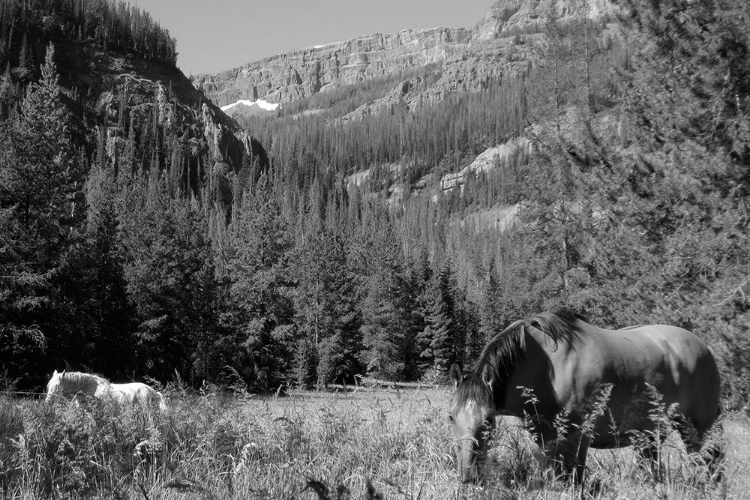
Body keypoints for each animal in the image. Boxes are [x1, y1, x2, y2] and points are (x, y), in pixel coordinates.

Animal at [450, 308, 724, 484]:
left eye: (488, 421)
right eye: (451, 417)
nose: (467, 476)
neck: (547, 369)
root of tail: (705, 349)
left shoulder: (578, 437)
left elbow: (576, 479)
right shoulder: (547, 439)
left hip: (699, 430)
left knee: (709, 465)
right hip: (649, 436)